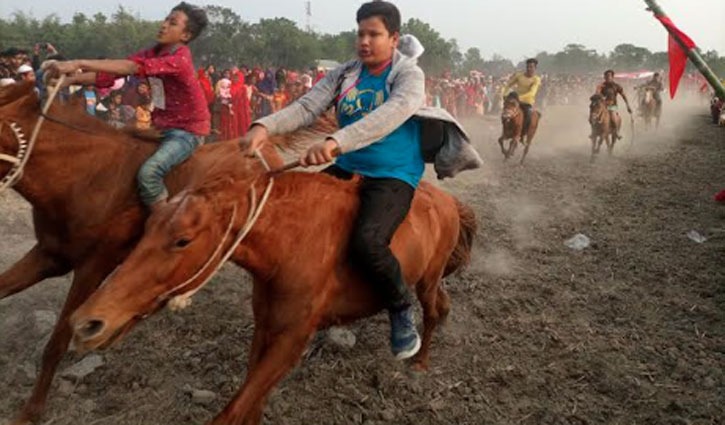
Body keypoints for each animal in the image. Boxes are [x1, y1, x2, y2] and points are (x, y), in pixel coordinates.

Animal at [66, 140, 476, 424]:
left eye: (182, 240)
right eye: (148, 227)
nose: (87, 322)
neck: (290, 241)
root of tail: (448, 202)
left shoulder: (293, 337)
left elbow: (233, 412)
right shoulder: (265, 325)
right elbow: (252, 401)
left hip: (426, 280)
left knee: (432, 310)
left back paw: (418, 359)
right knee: (442, 305)